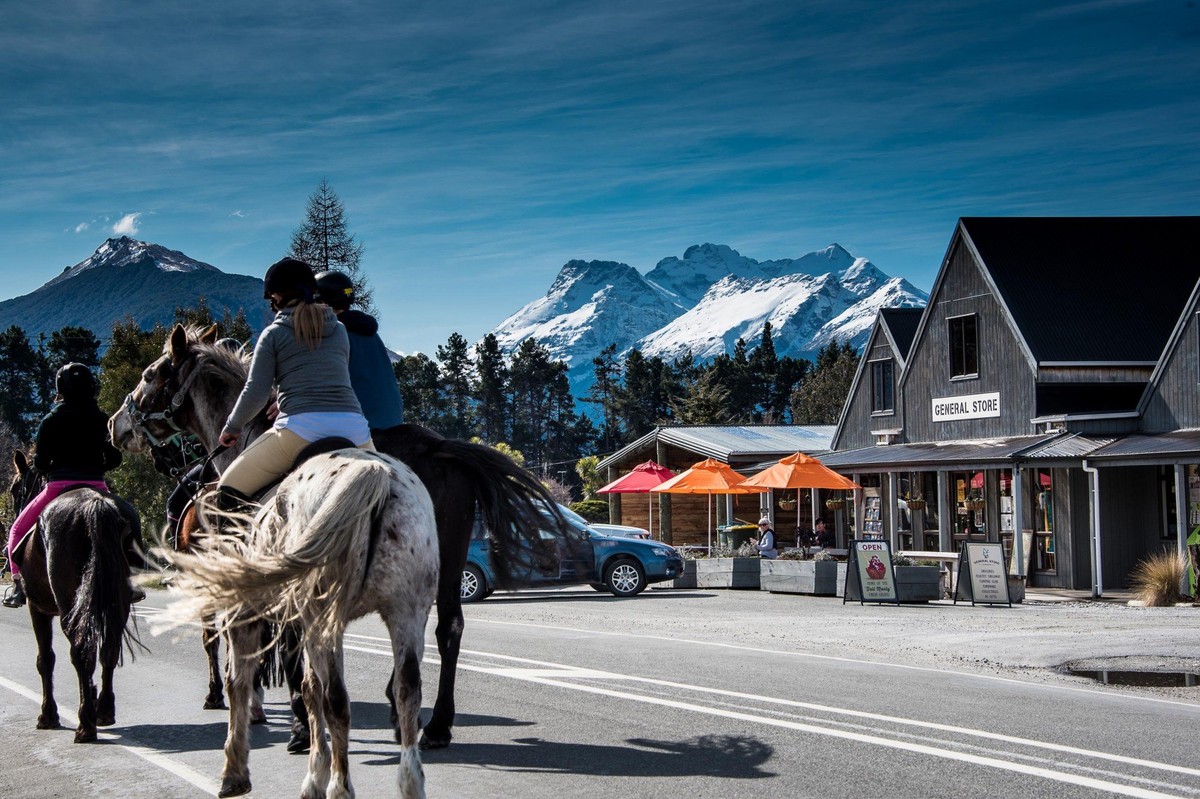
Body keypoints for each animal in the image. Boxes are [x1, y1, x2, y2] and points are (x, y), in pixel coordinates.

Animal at [8, 448, 142, 739]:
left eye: (14, 489)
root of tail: (96, 506)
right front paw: (90, 693)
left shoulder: (37, 608)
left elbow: (45, 659)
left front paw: (48, 715)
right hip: (118, 602)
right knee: (108, 649)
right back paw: (103, 711)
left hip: (69, 605)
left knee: (81, 652)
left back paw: (85, 725)